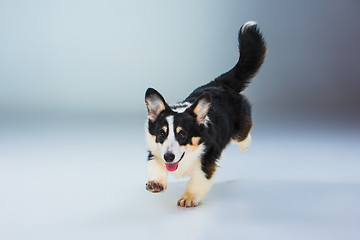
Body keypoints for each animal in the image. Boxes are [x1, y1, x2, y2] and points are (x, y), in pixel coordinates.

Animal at [145, 21, 266, 207]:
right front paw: (156, 183)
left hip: (240, 128)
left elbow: (198, 181)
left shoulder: (206, 163)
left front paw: (189, 197)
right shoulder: (155, 151)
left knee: (245, 134)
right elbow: (156, 165)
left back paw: (245, 145)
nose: (169, 157)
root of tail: (220, 84)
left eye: (182, 135)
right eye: (161, 134)